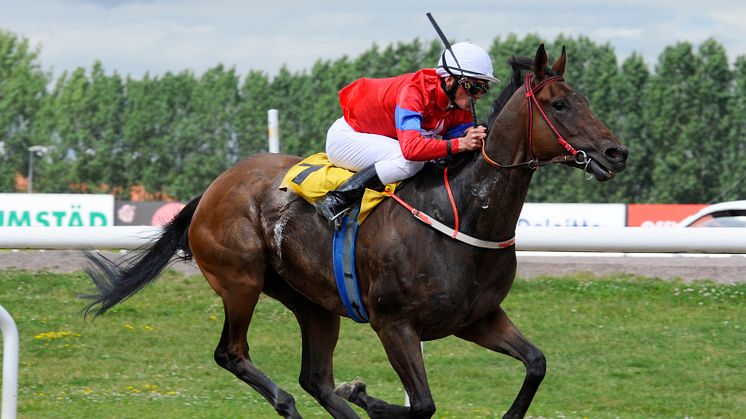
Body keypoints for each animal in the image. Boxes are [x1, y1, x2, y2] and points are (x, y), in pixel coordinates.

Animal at [83, 44, 628, 418]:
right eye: (559, 105)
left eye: (583, 99)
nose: (616, 152)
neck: (467, 214)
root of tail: (211, 191)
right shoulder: (395, 323)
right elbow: (421, 405)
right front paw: (366, 395)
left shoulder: (477, 317)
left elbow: (536, 363)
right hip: (241, 280)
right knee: (232, 354)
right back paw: (290, 400)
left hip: (315, 302)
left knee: (316, 378)